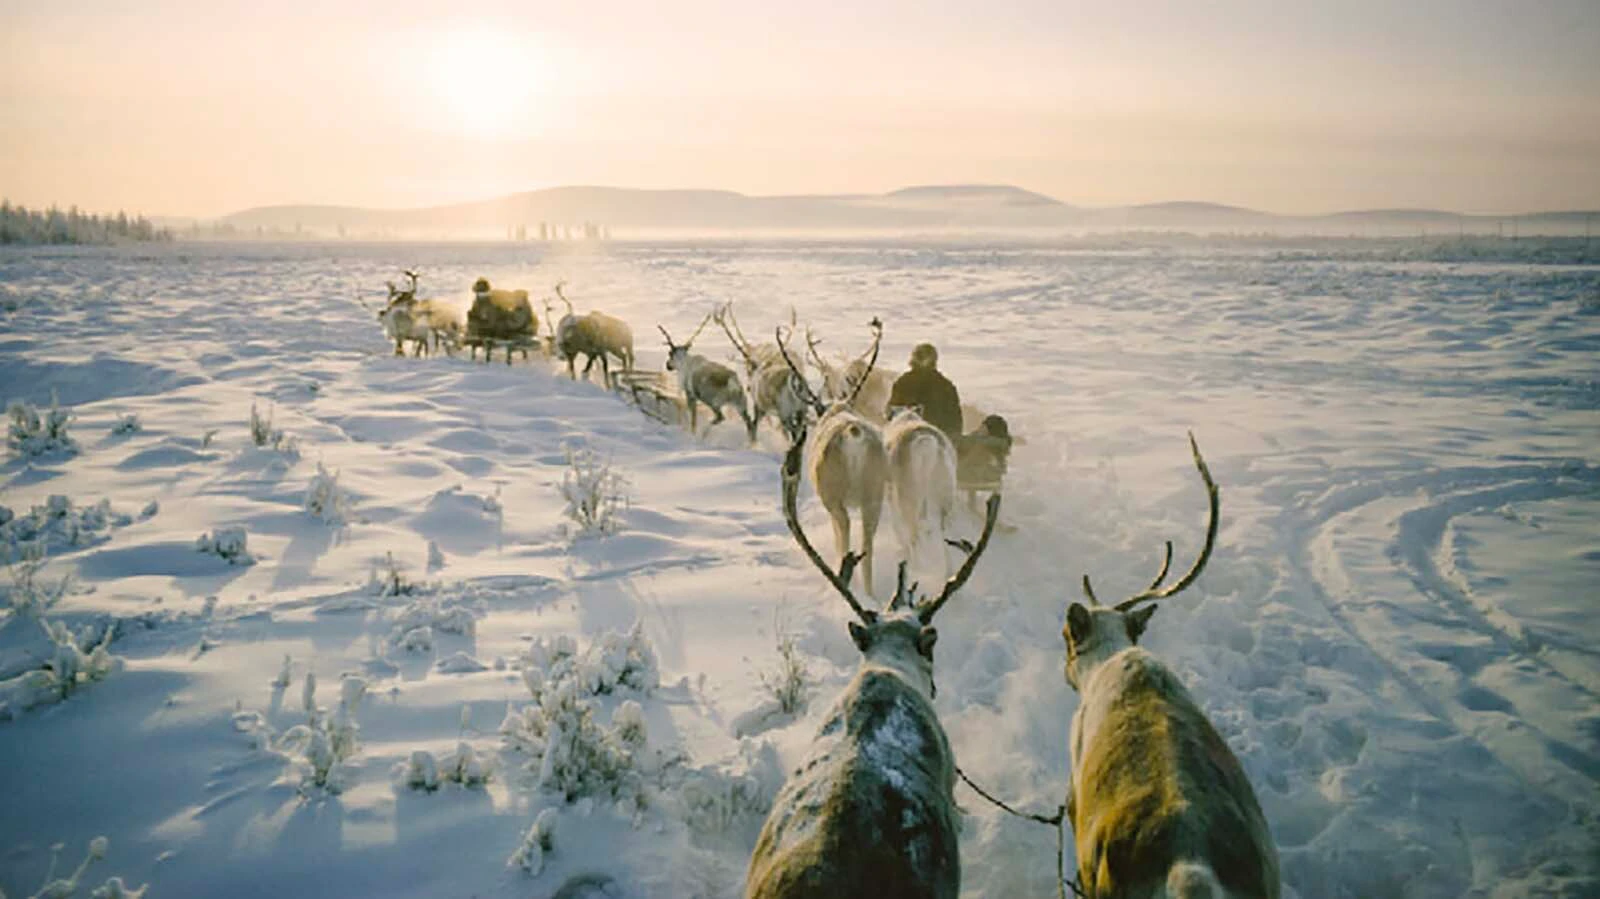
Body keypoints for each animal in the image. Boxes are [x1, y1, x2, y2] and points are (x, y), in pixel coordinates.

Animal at [660, 311, 756, 441]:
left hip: (712, 401)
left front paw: (692, 433)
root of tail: (733, 382)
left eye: (670, 354)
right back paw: (752, 443)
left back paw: (703, 434)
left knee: (721, 417)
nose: (668, 366)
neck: (684, 363)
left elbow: (692, 418)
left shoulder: (691, 395)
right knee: (749, 421)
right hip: (740, 402)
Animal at [717, 301, 812, 444]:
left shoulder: (760, 407)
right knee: (798, 430)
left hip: (785, 412)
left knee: (792, 430)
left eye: (748, 369)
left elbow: (754, 425)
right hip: (801, 410)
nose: (748, 388)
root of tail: (796, 382)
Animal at [775, 319, 887, 595]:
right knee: (867, 546)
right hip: (874, 494)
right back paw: (869, 592)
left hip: (835, 496)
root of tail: (853, 434)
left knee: (844, 535)